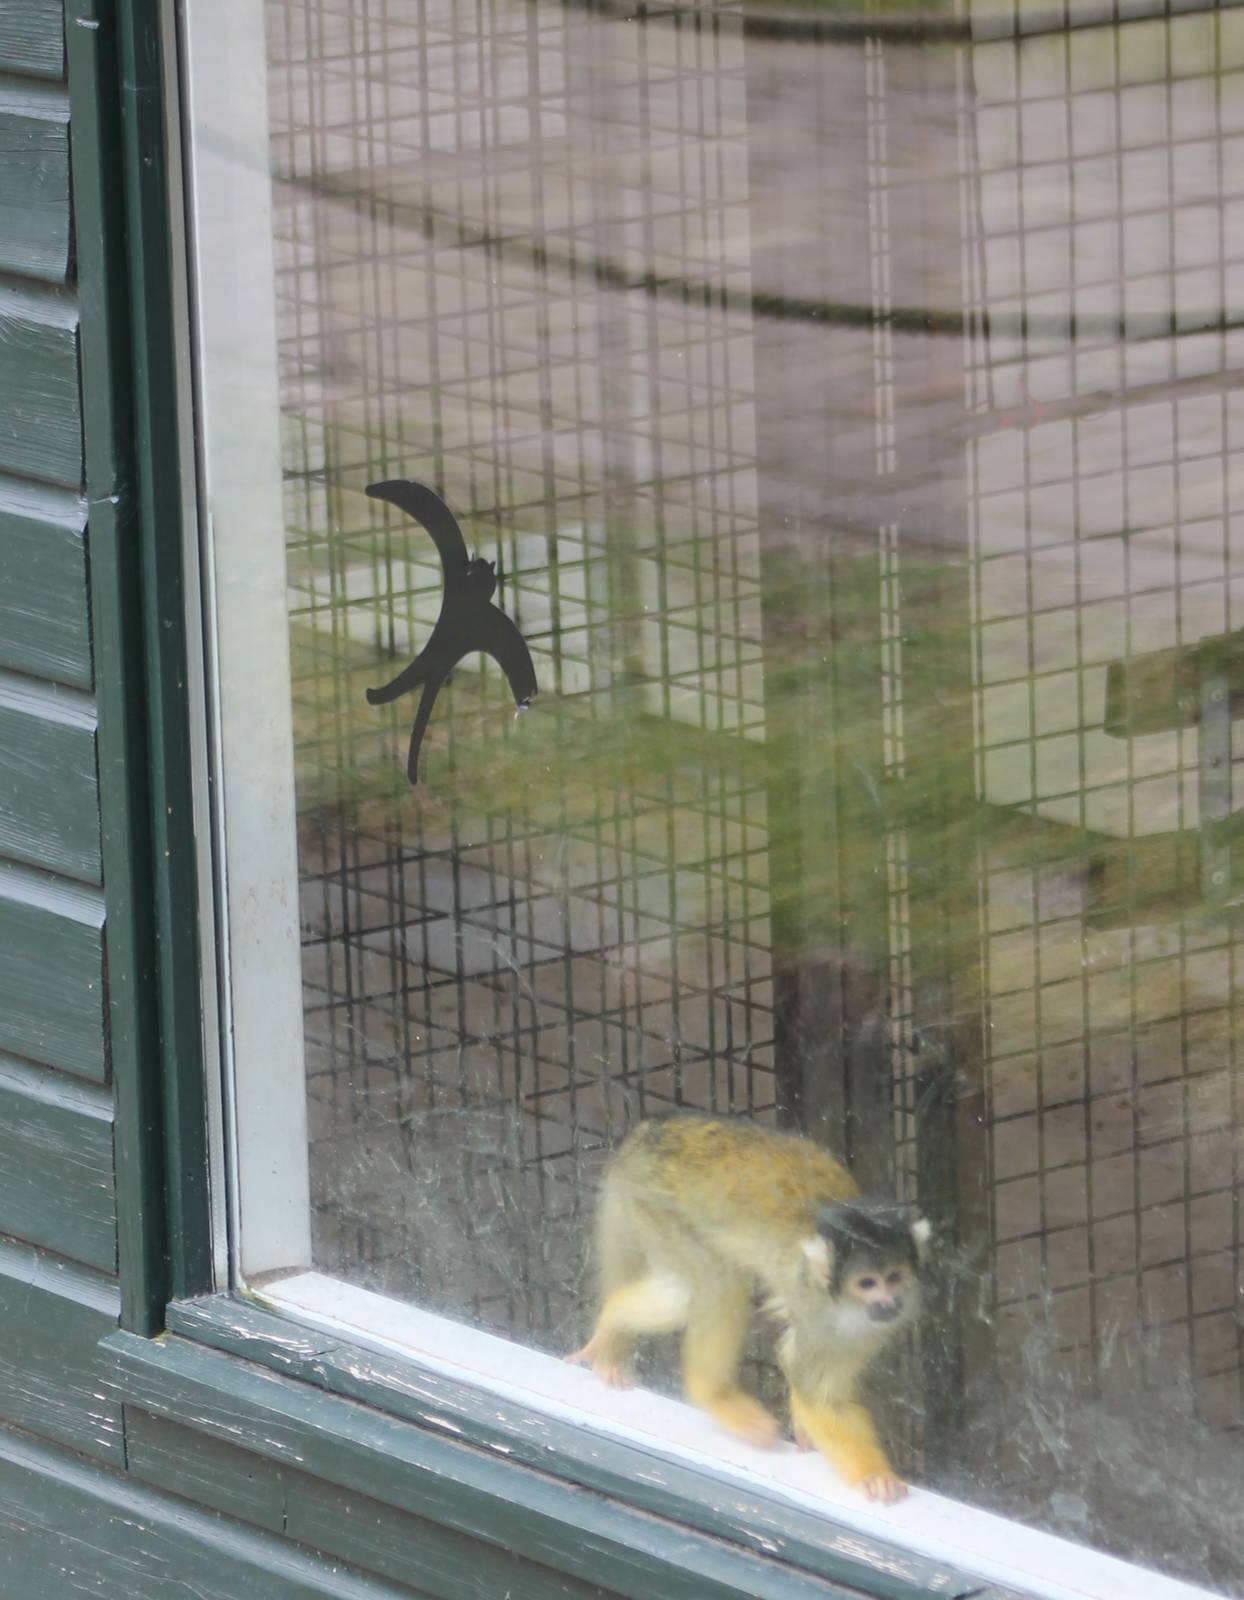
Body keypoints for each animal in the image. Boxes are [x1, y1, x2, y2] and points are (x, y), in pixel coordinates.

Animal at [566, 1115, 931, 1503]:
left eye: (894, 1278)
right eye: (867, 1284)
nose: (888, 1303)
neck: (840, 1302)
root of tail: (647, 1135)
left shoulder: (867, 1326)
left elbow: (798, 1362)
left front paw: (804, 1426)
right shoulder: (820, 1312)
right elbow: (820, 1397)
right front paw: (875, 1474)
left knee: (683, 1292)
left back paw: (615, 1319)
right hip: (656, 1207)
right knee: (717, 1283)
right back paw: (710, 1391)